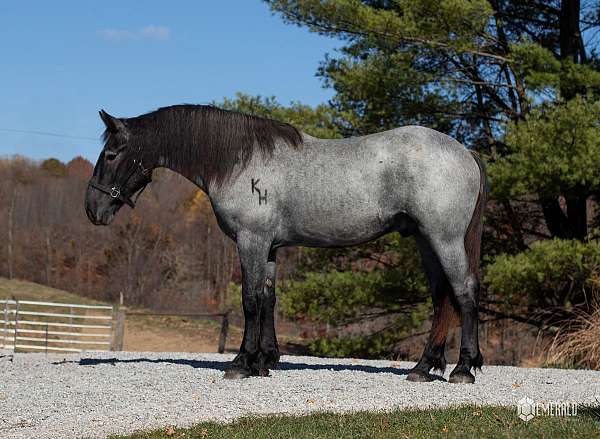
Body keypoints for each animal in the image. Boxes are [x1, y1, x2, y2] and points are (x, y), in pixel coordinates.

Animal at [84, 106, 488, 384]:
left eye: (111, 154)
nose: (92, 208)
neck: (238, 161)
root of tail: (465, 152)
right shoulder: (269, 247)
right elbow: (268, 299)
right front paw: (264, 361)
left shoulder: (251, 241)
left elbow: (249, 300)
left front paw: (241, 363)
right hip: (425, 240)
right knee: (442, 298)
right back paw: (423, 366)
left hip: (444, 239)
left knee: (464, 293)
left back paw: (463, 368)